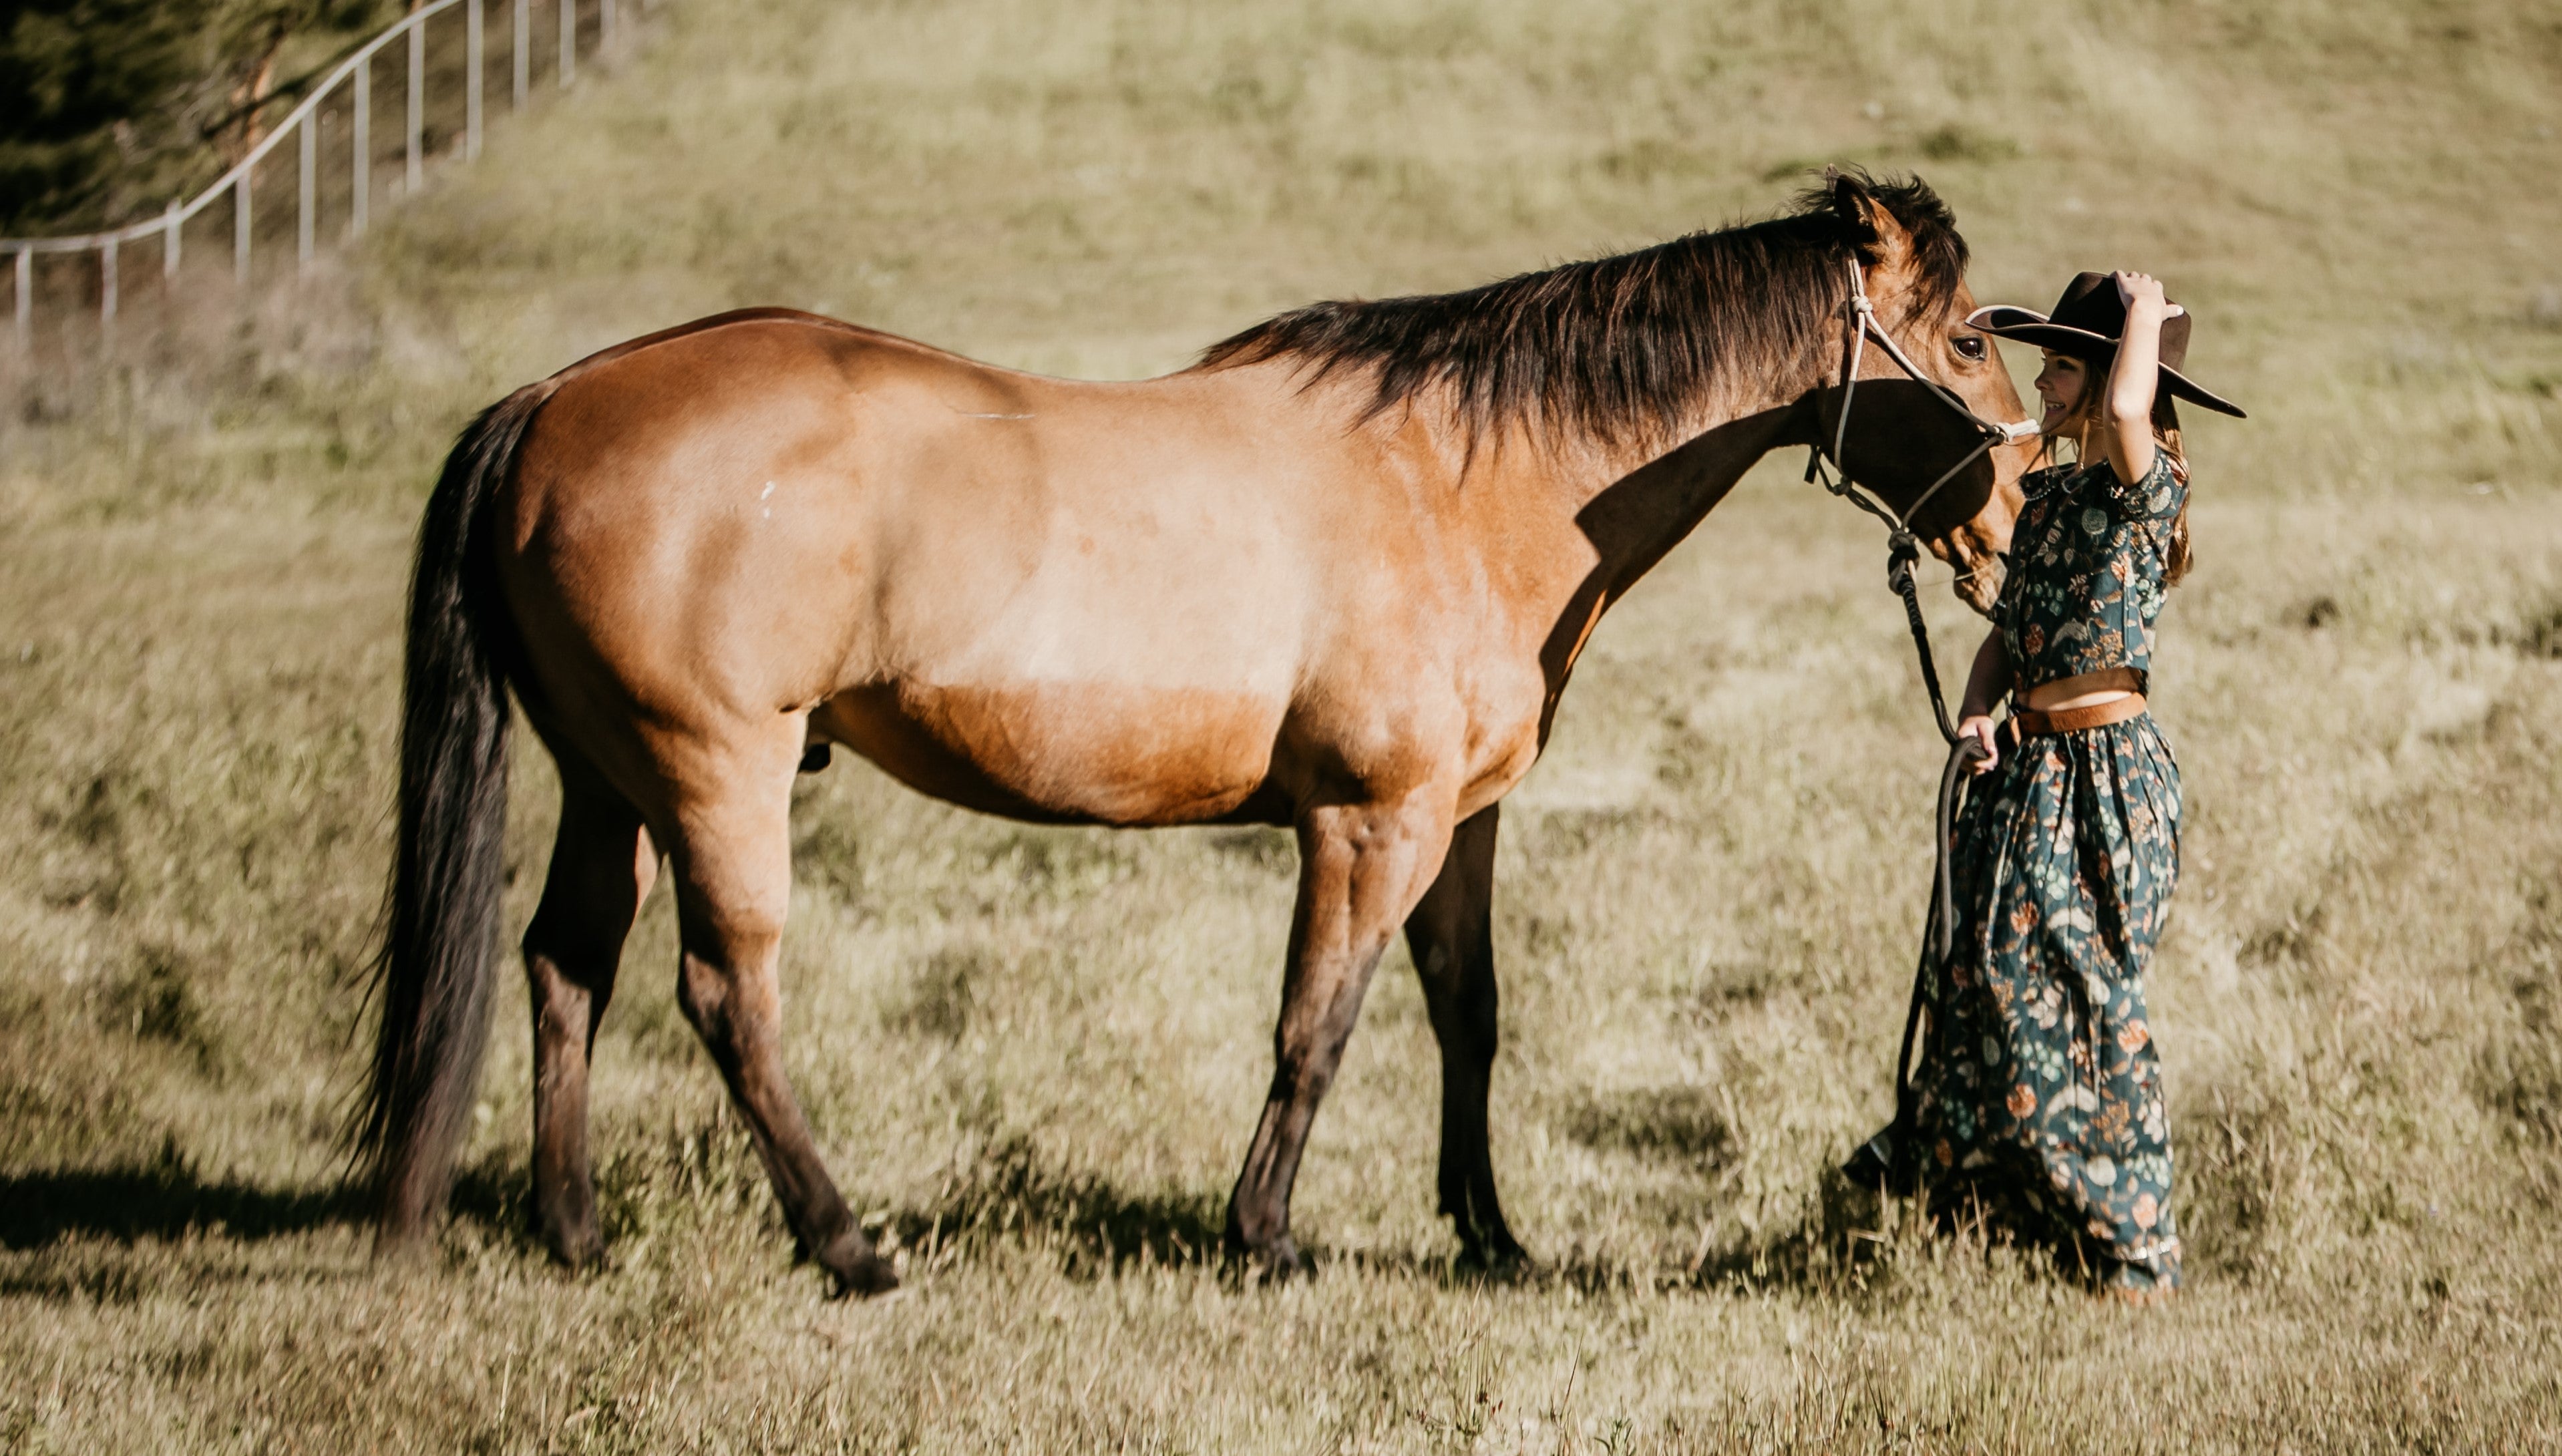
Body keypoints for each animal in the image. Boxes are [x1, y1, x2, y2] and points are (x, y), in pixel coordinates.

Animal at [361, 170, 2029, 1297]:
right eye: (1958, 342)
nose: (2016, 529)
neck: (1467, 480)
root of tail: (554, 398)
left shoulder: (1457, 823)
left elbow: (1467, 1017)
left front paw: (1487, 1233)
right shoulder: (1368, 823)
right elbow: (1317, 1026)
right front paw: (1265, 1236)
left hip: (613, 784)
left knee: (566, 966)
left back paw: (576, 1232)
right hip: (718, 776)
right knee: (725, 997)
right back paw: (848, 1246)